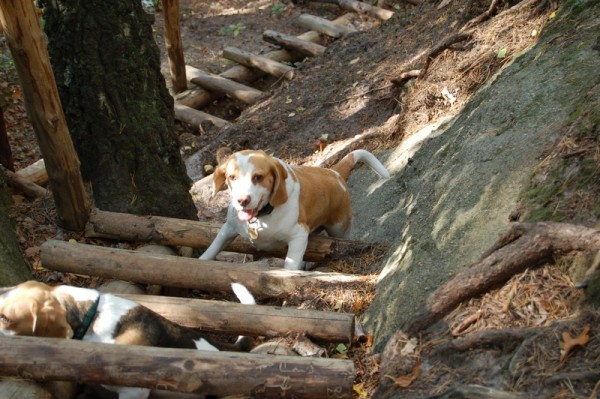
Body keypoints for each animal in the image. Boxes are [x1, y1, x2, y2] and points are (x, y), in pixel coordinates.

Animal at [199, 150, 392, 272]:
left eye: (258, 177)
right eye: (232, 177)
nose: (242, 201)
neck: (263, 216)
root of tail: (334, 173)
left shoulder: (298, 236)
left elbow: (290, 266)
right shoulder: (228, 228)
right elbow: (212, 248)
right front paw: (202, 260)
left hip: (339, 229)